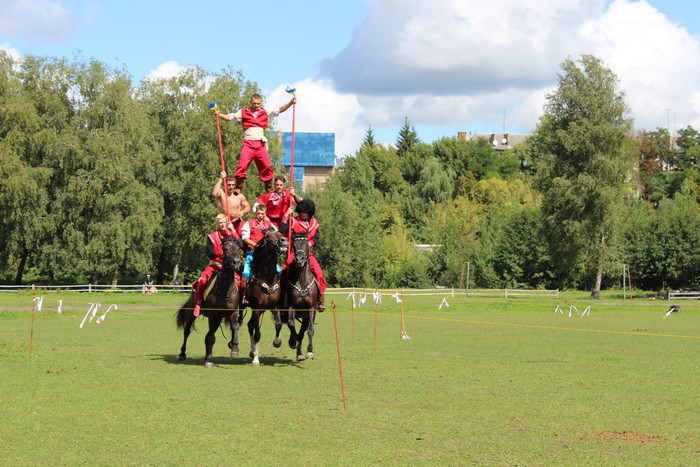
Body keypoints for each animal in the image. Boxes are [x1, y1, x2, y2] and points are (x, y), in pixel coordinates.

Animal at [176, 239, 242, 368]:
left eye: (238, 248)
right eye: (225, 249)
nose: (236, 263)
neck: (225, 289)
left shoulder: (233, 313)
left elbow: (235, 327)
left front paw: (234, 349)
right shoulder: (214, 317)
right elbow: (210, 337)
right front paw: (209, 359)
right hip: (191, 314)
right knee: (187, 331)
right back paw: (182, 354)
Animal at [245, 229, 288, 368]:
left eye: (279, 233)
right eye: (268, 236)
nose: (284, 241)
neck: (267, 279)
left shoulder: (274, 306)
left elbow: (278, 325)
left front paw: (277, 342)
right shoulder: (256, 308)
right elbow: (258, 334)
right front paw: (256, 360)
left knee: (249, 325)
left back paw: (252, 351)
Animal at [284, 234, 320, 362]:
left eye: (306, 245)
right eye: (294, 246)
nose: (299, 260)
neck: (302, 281)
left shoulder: (311, 309)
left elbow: (310, 330)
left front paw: (310, 351)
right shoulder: (291, 307)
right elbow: (291, 324)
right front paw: (293, 342)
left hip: (305, 317)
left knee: (303, 332)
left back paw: (300, 353)